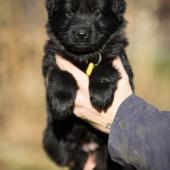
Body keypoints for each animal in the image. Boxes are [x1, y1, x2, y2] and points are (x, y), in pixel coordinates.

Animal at [42, 0, 134, 170]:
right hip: (51, 139)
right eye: (69, 12)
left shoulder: (119, 59)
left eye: (97, 12)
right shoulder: (52, 59)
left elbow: (104, 67)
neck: (84, 56)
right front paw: (61, 103)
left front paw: (101, 94)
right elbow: (62, 74)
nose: (81, 34)